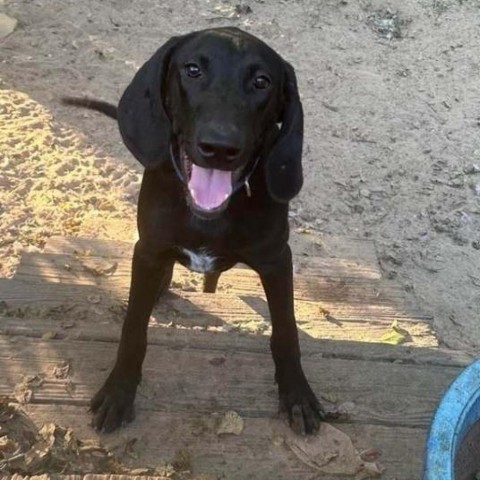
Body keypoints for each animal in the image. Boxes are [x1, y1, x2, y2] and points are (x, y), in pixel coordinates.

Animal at [63, 28, 324, 436]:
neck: (208, 214)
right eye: (193, 70)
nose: (219, 147)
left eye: (262, 82)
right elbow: (133, 329)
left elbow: (286, 329)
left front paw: (296, 394)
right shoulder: (149, 250)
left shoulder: (277, 259)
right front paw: (119, 392)